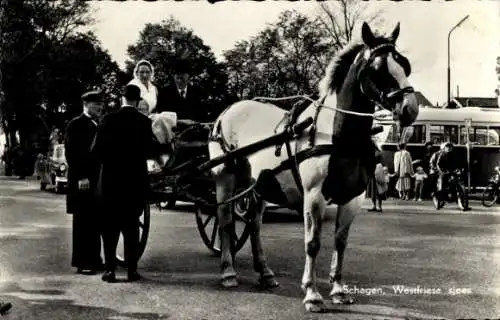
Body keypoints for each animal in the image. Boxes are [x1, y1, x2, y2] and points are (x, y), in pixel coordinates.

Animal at [207, 22, 418, 312]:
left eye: (404, 64)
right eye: (377, 69)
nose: (410, 109)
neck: (339, 135)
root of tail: (227, 111)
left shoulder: (353, 198)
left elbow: (340, 241)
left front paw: (338, 290)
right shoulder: (314, 195)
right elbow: (313, 243)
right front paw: (312, 294)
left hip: (259, 185)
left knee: (254, 225)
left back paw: (265, 272)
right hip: (225, 179)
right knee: (226, 220)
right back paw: (228, 272)